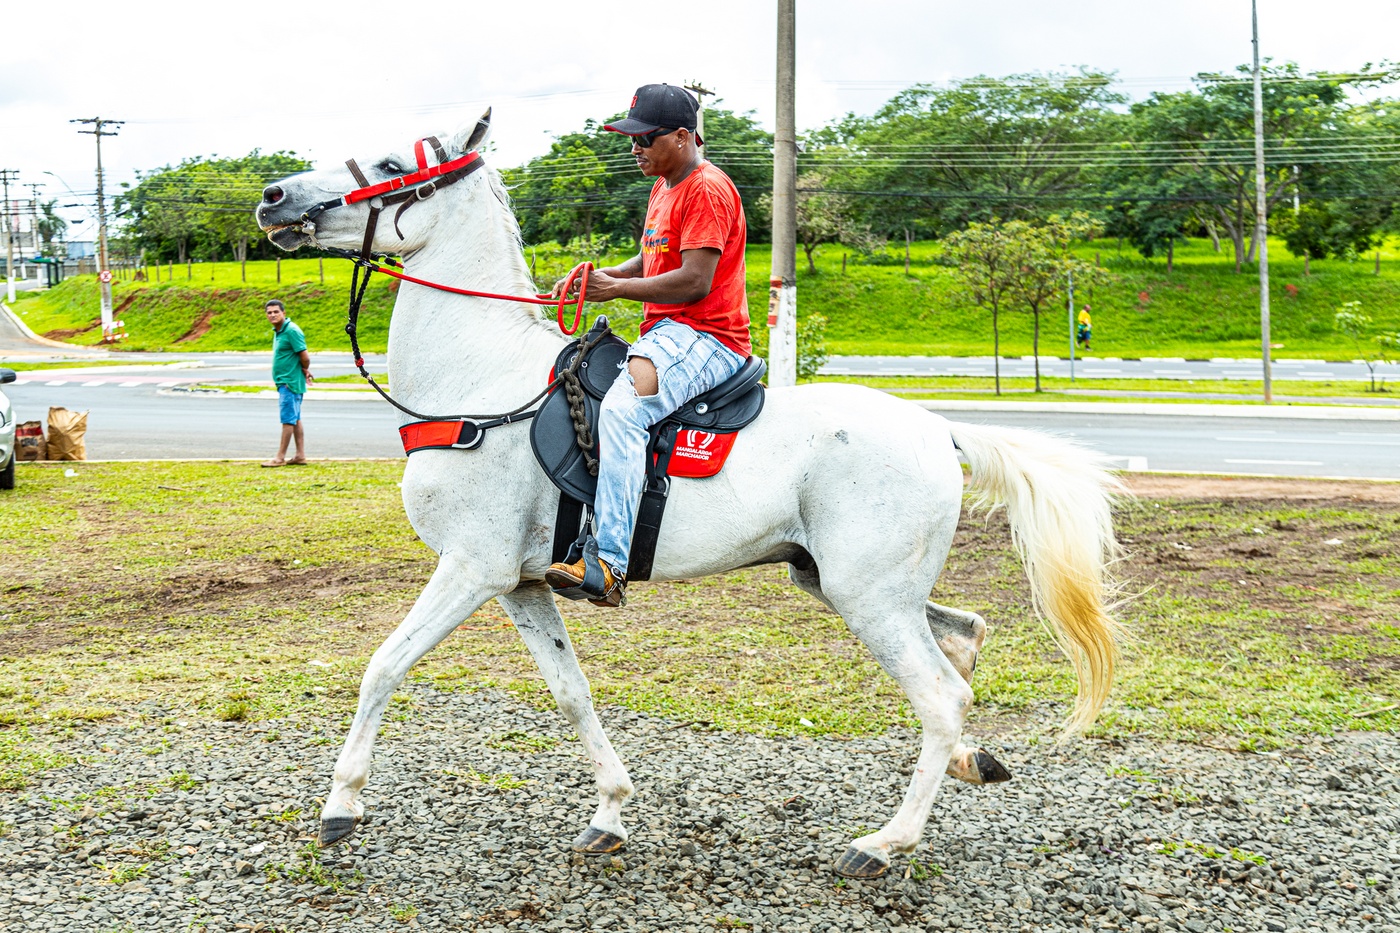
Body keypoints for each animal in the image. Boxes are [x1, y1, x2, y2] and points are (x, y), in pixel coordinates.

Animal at [255, 111, 1125, 879]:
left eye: (391, 164)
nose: (273, 196)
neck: (483, 384)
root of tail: (937, 429)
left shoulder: (472, 568)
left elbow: (382, 665)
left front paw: (341, 805)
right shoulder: (522, 583)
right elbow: (571, 692)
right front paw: (609, 811)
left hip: (868, 596)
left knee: (941, 697)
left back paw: (882, 843)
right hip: (839, 579)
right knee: (964, 639)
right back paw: (973, 760)